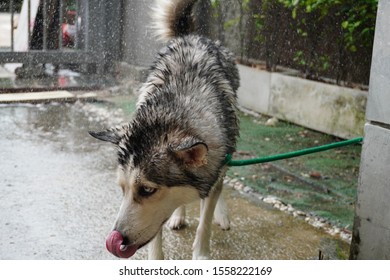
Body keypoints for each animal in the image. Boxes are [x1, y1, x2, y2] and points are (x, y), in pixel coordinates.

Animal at [89, 0, 239, 260]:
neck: (176, 107)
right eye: (122, 189)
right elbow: (156, 236)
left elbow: (205, 221)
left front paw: (202, 255)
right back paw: (178, 216)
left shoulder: (215, 166)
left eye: (147, 190)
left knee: (221, 185)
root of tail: (192, 36)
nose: (117, 238)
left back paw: (221, 214)